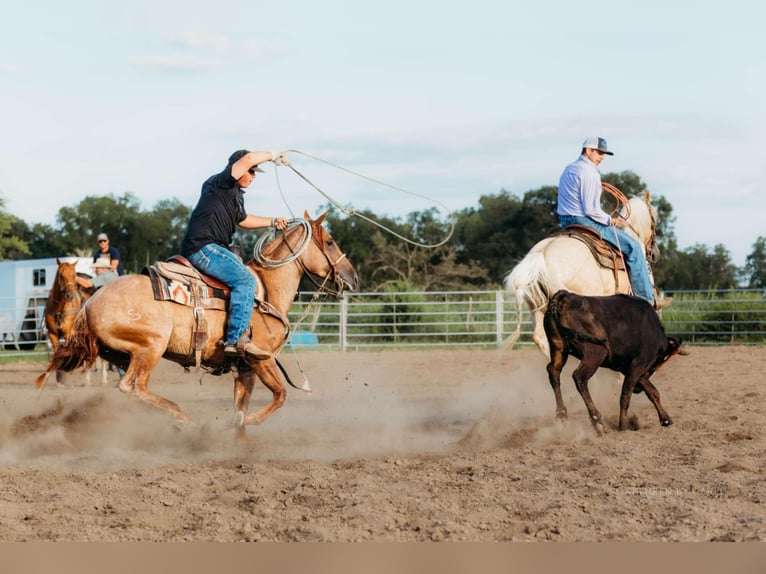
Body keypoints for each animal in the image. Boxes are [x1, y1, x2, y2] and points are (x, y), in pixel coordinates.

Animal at [43, 258, 107, 388]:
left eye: (73, 276)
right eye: (61, 275)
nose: (69, 295)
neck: (59, 309)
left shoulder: (69, 334)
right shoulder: (52, 334)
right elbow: (58, 352)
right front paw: (60, 378)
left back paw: (100, 380)